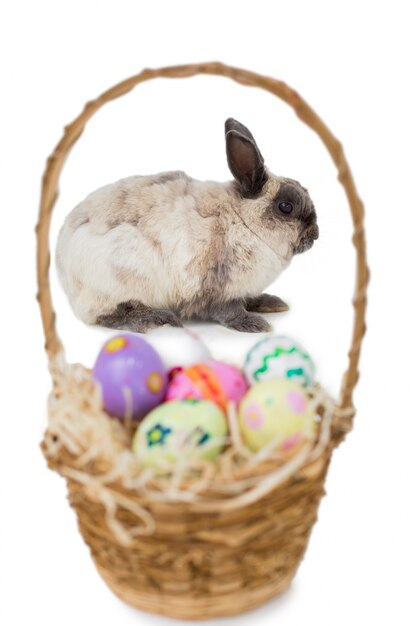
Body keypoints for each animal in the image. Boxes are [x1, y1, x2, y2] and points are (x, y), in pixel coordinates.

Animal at [54, 117, 316, 332]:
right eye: (285, 207)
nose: (315, 235)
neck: (242, 221)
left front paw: (270, 303)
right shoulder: (218, 289)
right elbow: (228, 311)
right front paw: (253, 323)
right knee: (108, 314)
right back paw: (154, 318)